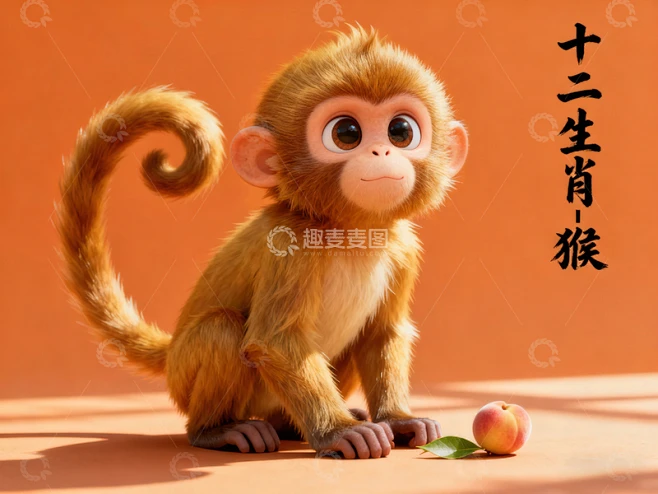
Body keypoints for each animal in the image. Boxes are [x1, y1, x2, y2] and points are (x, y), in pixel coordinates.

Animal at [57, 26, 468, 460]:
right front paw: (338, 432)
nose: (381, 150)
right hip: (187, 380)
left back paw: (289, 425)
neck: (345, 232)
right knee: (221, 331)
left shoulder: (403, 248)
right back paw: (215, 430)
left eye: (401, 131)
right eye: (346, 133)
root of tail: (170, 358)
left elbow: (380, 334)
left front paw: (398, 419)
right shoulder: (291, 247)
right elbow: (276, 343)